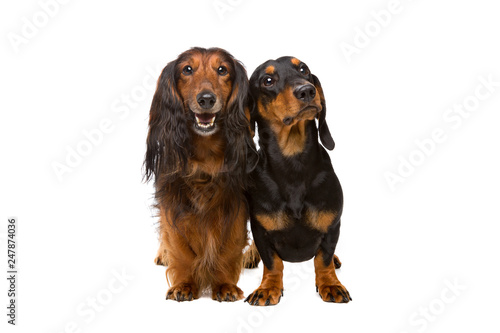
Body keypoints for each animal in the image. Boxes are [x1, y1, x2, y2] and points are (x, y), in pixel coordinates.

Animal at [143, 47, 256, 300]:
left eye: (222, 70)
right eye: (187, 70)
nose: (206, 99)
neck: (205, 154)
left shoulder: (236, 201)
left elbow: (230, 246)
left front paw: (224, 285)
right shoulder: (172, 198)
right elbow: (180, 247)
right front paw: (184, 284)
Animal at [244, 55, 350, 304]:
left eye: (303, 69)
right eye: (268, 80)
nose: (307, 91)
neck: (293, 165)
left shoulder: (332, 226)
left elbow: (323, 259)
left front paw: (330, 284)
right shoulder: (261, 231)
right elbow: (272, 262)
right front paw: (267, 288)